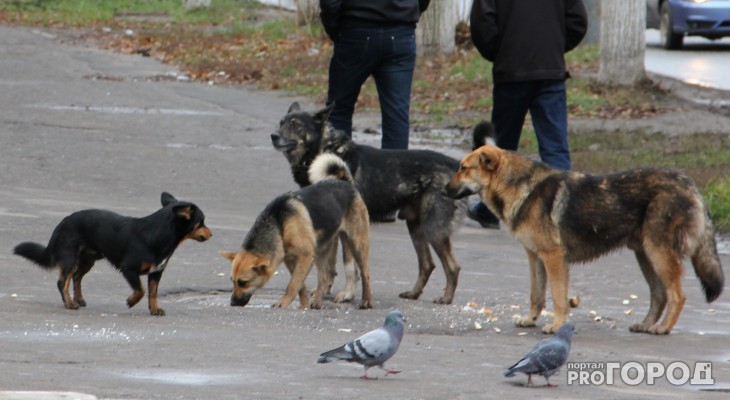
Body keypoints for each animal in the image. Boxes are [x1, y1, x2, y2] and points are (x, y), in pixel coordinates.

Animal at [12, 193, 212, 316]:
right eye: (201, 222)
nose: (211, 234)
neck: (158, 233)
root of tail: (62, 223)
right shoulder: (129, 269)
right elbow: (141, 290)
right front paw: (131, 301)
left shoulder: (156, 273)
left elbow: (153, 293)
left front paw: (154, 310)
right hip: (71, 259)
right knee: (63, 282)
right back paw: (70, 304)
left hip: (88, 260)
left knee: (77, 277)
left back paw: (79, 299)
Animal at [270, 101, 470, 304]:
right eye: (281, 123)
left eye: (296, 125)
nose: (274, 136)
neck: (325, 150)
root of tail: (455, 165)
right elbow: (330, 265)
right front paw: (324, 290)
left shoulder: (348, 229)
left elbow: (349, 265)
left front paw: (347, 294)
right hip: (415, 228)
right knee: (427, 264)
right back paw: (413, 293)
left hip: (434, 230)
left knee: (452, 267)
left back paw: (446, 298)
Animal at [444, 144, 724, 334]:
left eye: (463, 169)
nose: (443, 190)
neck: (518, 186)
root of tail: (689, 184)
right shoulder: (535, 257)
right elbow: (537, 294)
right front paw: (531, 319)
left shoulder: (553, 258)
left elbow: (558, 297)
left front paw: (556, 325)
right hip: (646, 256)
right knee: (660, 295)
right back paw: (646, 324)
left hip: (659, 254)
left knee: (677, 295)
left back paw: (663, 328)